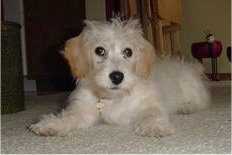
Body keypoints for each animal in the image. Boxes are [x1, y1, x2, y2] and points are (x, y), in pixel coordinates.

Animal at [29, 18, 210, 137]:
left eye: (128, 52)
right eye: (99, 50)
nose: (117, 76)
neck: (112, 99)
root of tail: (192, 67)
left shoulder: (149, 103)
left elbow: (151, 113)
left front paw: (155, 126)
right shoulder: (83, 110)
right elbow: (69, 116)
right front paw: (52, 124)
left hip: (191, 89)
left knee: (202, 102)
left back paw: (186, 107)